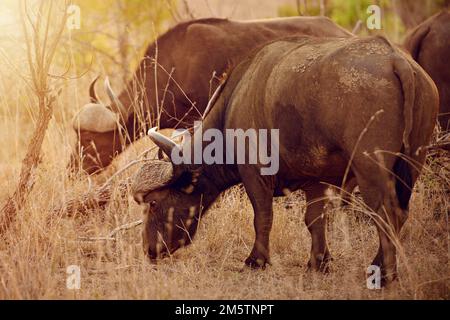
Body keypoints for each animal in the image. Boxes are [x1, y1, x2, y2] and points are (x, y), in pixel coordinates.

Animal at [131, 35, 440, 284]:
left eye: (154, 203)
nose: (148, 250)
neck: (234, 102)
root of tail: (396, 60)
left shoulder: (254, 174)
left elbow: (263, 217)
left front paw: (256, 260)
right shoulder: (318, 181)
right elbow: (314, 220)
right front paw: (318, 262)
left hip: (370, 168)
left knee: (387, 214)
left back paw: (384, 274)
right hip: (414, 162)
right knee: (400, 214)